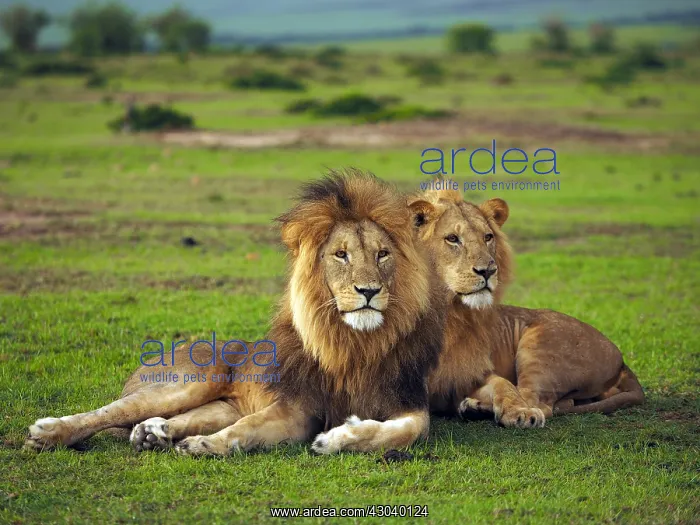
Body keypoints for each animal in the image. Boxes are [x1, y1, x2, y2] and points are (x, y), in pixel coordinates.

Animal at [25, 170, 446, 455]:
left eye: (383, 254)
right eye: (341, 255)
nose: (369, 291)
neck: (356, 343)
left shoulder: (408, 402)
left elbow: (408, 430)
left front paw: (335, 439)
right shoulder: (296, 407)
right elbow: (248, 428)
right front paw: (205, 446)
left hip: (220, 405)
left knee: (170, 419)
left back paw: (153, 433)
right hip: (190, 380)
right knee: (108, 412)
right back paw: (48, 433)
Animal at [409, 188, 644, 428]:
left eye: (488, 237)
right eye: (452, 239)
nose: (488, 270)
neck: (448, 313)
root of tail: (621, 360)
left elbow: (504, 384)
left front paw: (518, 411)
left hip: (540, 349)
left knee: (539, 403)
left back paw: (482, 409)